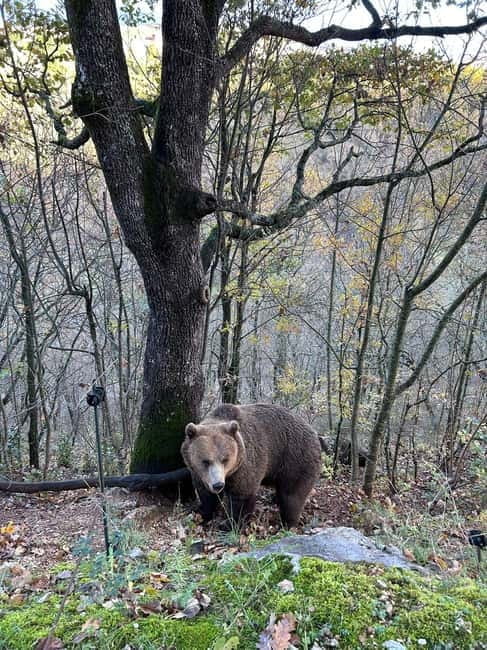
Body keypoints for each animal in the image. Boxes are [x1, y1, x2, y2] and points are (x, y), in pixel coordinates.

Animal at [181, 403, 321, 528]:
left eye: (225, 459)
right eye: (206, 461)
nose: (218, 485)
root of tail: (314, 432)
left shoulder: (245, 465)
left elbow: (242, 496)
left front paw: (228, 524)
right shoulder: (200, 473)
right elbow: (205, 494)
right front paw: (202, 513)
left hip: (294, 458)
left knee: (292, 495)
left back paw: (287, 523)